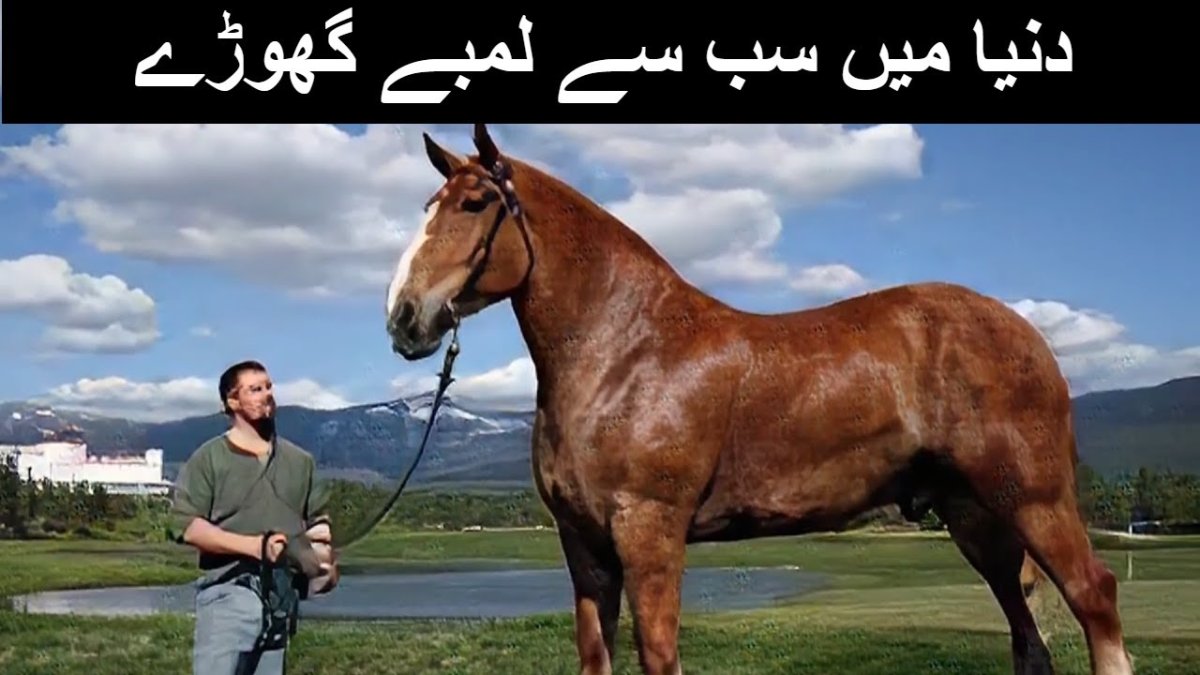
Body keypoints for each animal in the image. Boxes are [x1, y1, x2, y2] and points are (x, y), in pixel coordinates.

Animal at [383, 123, 1134, 675]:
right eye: (427, 208)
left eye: (474, 204)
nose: (404, 316)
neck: (627, 349)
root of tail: (1028, 335)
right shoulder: (584, 545)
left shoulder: (650, 534)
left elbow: (659, 654)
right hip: (977, 518)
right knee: (1027, 636)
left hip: (1034, 500)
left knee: (1095, 599)